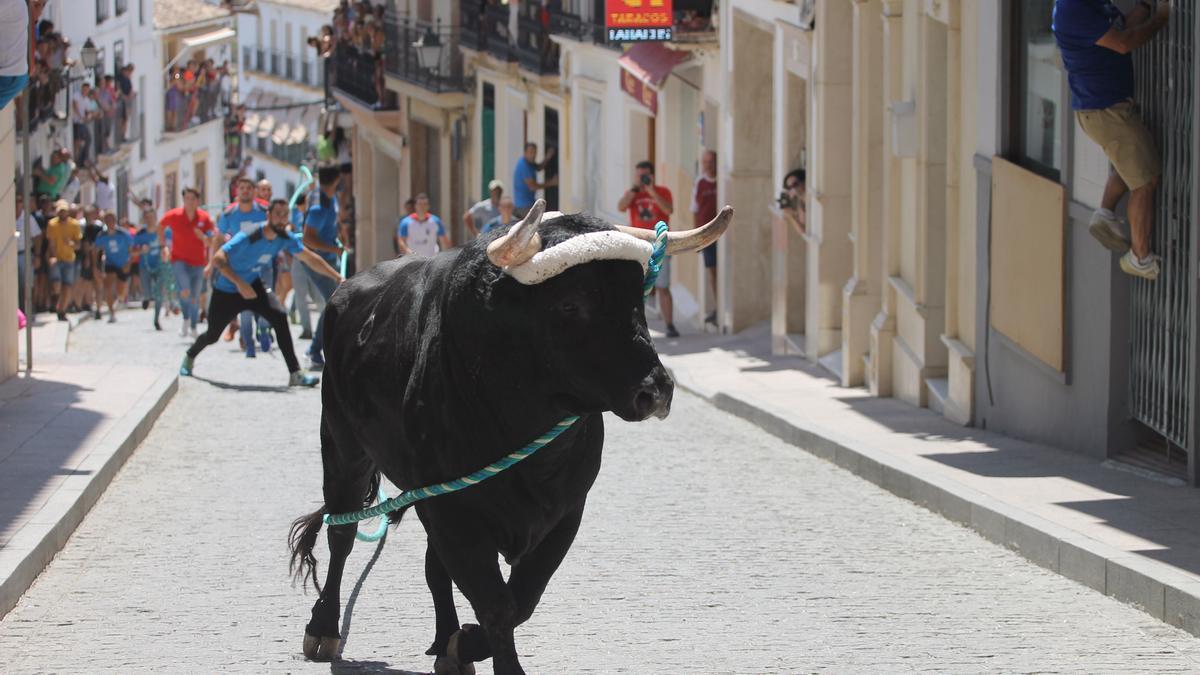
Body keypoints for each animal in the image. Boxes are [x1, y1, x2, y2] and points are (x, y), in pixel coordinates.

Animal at [285, 211, 696, 672]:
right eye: (571, 304)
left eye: (637, 301)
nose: (656, 390)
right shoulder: (454, 513)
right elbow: (497, 605)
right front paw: (483, 653)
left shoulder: (565, 512)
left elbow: (522, 600)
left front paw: (460, 643)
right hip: (342, 447)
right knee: (341, 533)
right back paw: (323, 627)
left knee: (433, 568)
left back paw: (445, 638)